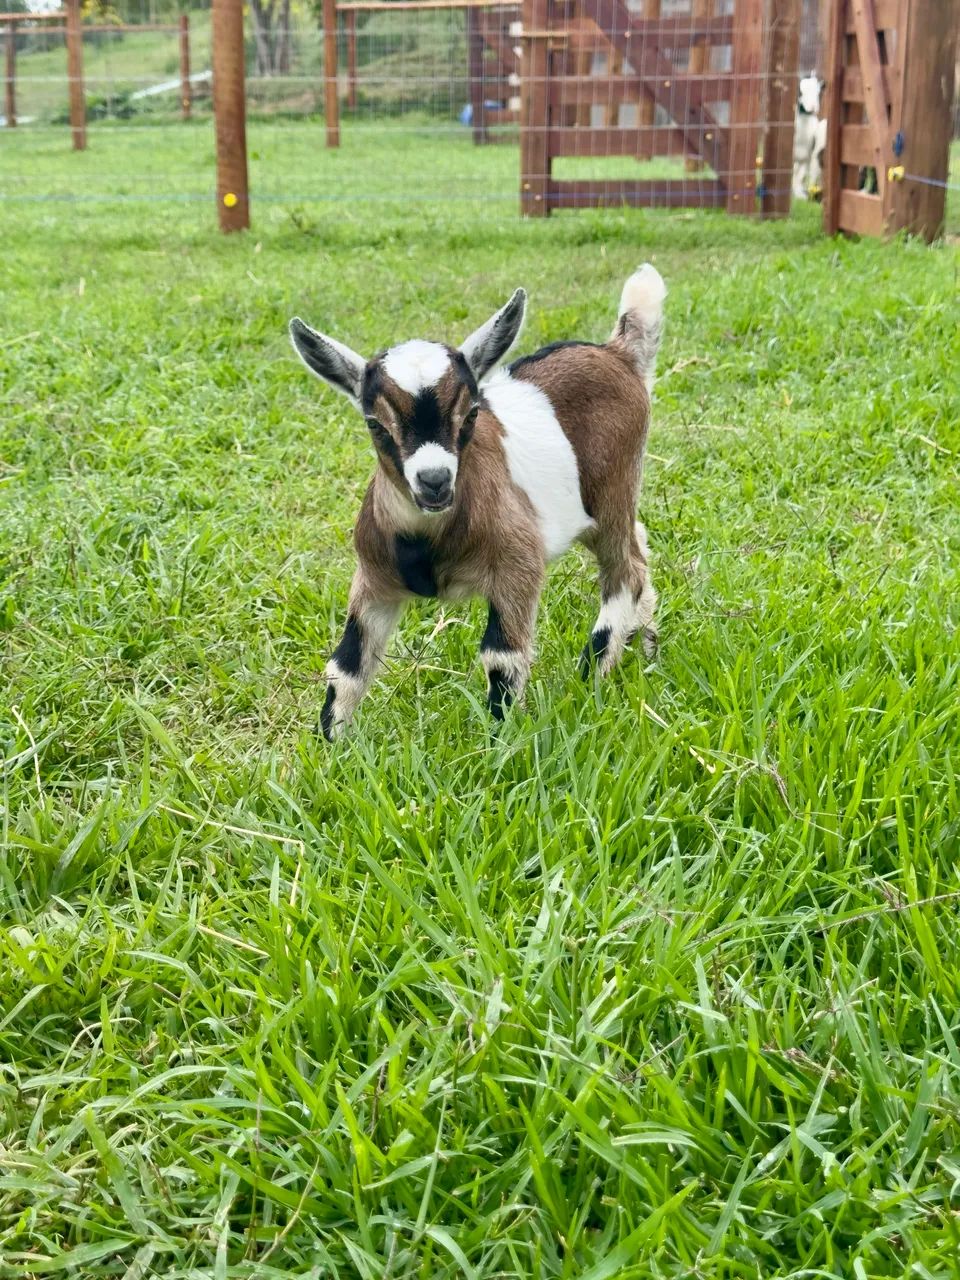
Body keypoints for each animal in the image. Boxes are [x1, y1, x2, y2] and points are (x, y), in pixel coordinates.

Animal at [289, 265, 665, 739]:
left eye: (471, 413)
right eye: (374, 424)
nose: (434, 481)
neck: (428, 541)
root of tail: (618, 352)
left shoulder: (517, 564)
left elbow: (502, 661)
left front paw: (500, 744)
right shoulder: (373, 579)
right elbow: (347, 667)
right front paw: (329, 745)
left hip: (614, 492)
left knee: (626, 572)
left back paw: (589, 679)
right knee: (641, 548)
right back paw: (646, 647)